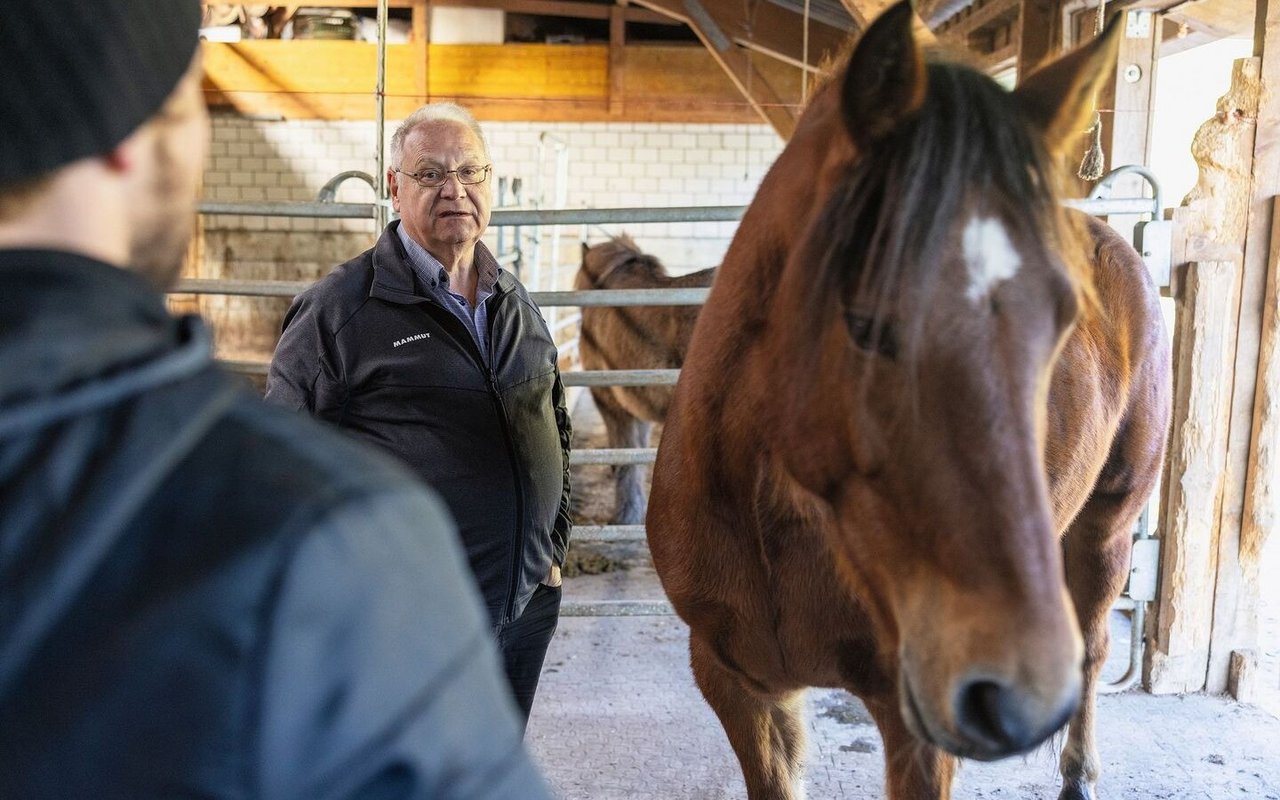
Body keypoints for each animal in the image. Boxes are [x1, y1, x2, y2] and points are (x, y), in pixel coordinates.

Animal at [650, 3, 1172, 793]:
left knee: (1091, 645)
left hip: (1107, 530)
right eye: (867, 324)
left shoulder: (919, 723)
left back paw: (1079, 771)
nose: (1015, 692)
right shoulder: (737, 684)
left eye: (1060, 322)